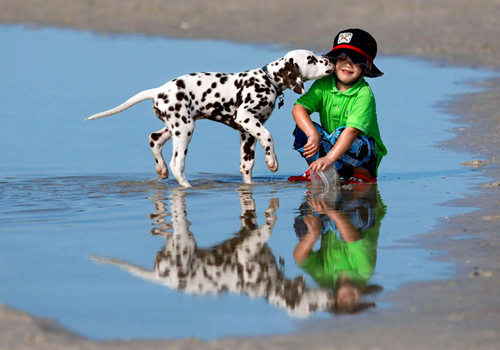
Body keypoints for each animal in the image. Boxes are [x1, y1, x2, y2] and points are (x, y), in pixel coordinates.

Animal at [86, 49, 336, 187]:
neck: (267, 80)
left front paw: (250, 186)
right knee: (178, 163)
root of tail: (159, 90)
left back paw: (162, 170)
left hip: (174, 127)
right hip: (184, 130)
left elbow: (246, 165)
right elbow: (268, 137)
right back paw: (186, 187)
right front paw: (272, 161)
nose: (331, 61)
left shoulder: (247, 133)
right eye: (311, 59)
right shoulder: (246, 118)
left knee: (153, 139)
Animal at [90, 187, 336, 316]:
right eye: (312, 308)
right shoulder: (250, 248)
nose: (331, 301)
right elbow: (268, 224)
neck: (267, 286)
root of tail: (161, 277)